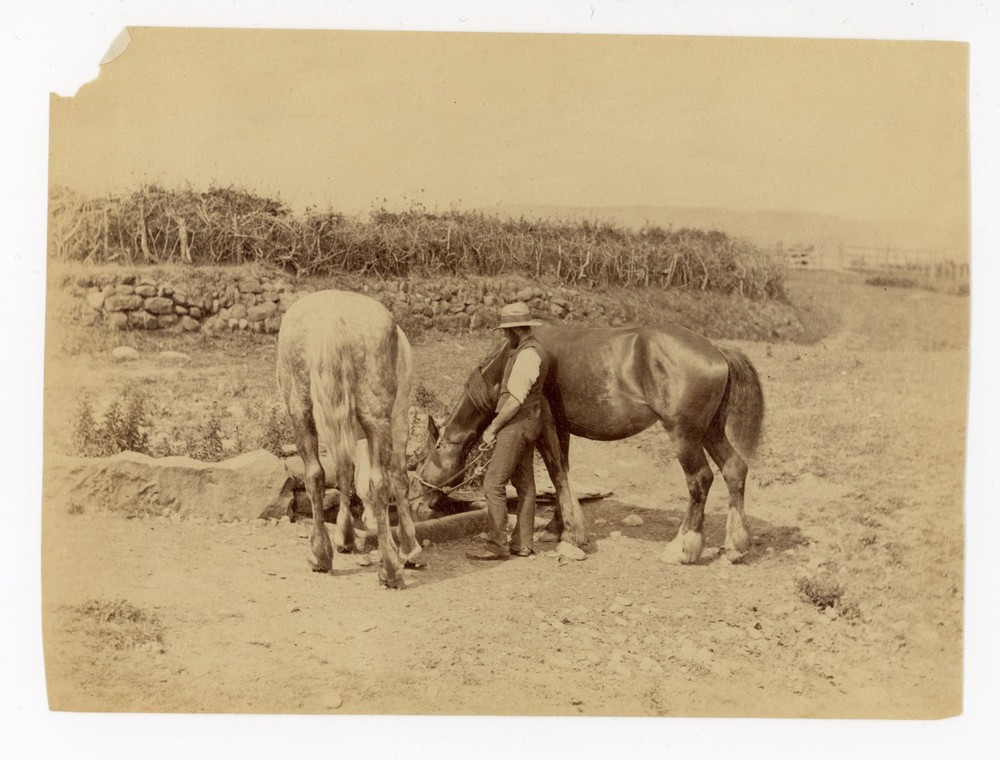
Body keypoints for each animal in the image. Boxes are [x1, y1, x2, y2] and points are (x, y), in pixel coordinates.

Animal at [277, 290, 423, 588]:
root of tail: (332, 319)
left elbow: (344, 473)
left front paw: (345, 535)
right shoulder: (399, 420)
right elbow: (398, 479)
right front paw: (409, 547)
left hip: (301, 412)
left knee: (315, 475)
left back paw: (320, 555)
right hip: (378, 418)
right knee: (380, 482)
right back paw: (390, 570)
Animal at [412, 320, 765, 564]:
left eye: (428, 455)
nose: (415, 503)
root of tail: (718, 350)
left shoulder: (546, 425)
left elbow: (556, 471)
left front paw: (571, 533)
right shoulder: (563, 428)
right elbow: (562, 473)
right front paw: (556, 527)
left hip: (685, 436)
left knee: (700, 480)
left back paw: (682, 548)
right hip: (711, 431)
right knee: (735, 469)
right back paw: (735, 546)